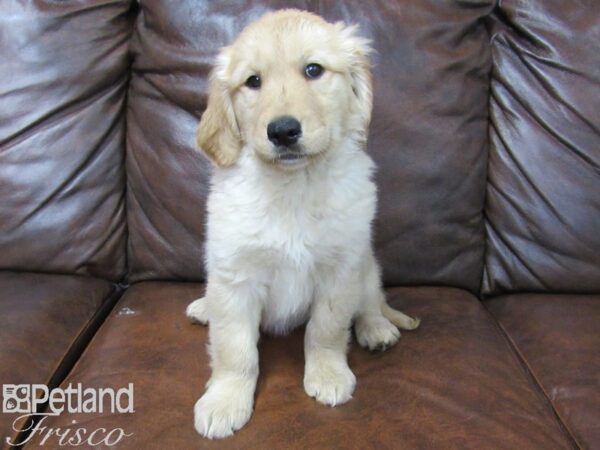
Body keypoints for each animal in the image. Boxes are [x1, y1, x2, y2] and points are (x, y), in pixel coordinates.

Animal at [186, 9, 418, 440]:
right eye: (252, 81)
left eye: (314, 70)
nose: (282, 131)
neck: (293, 186)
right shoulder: (235, 275)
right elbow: (234, 348)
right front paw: (225, 399)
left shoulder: (340, 270)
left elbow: (326, 329)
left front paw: (328, 375)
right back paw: (204, 306)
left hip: (367, 266)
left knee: (371, 301)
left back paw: (376, 329)